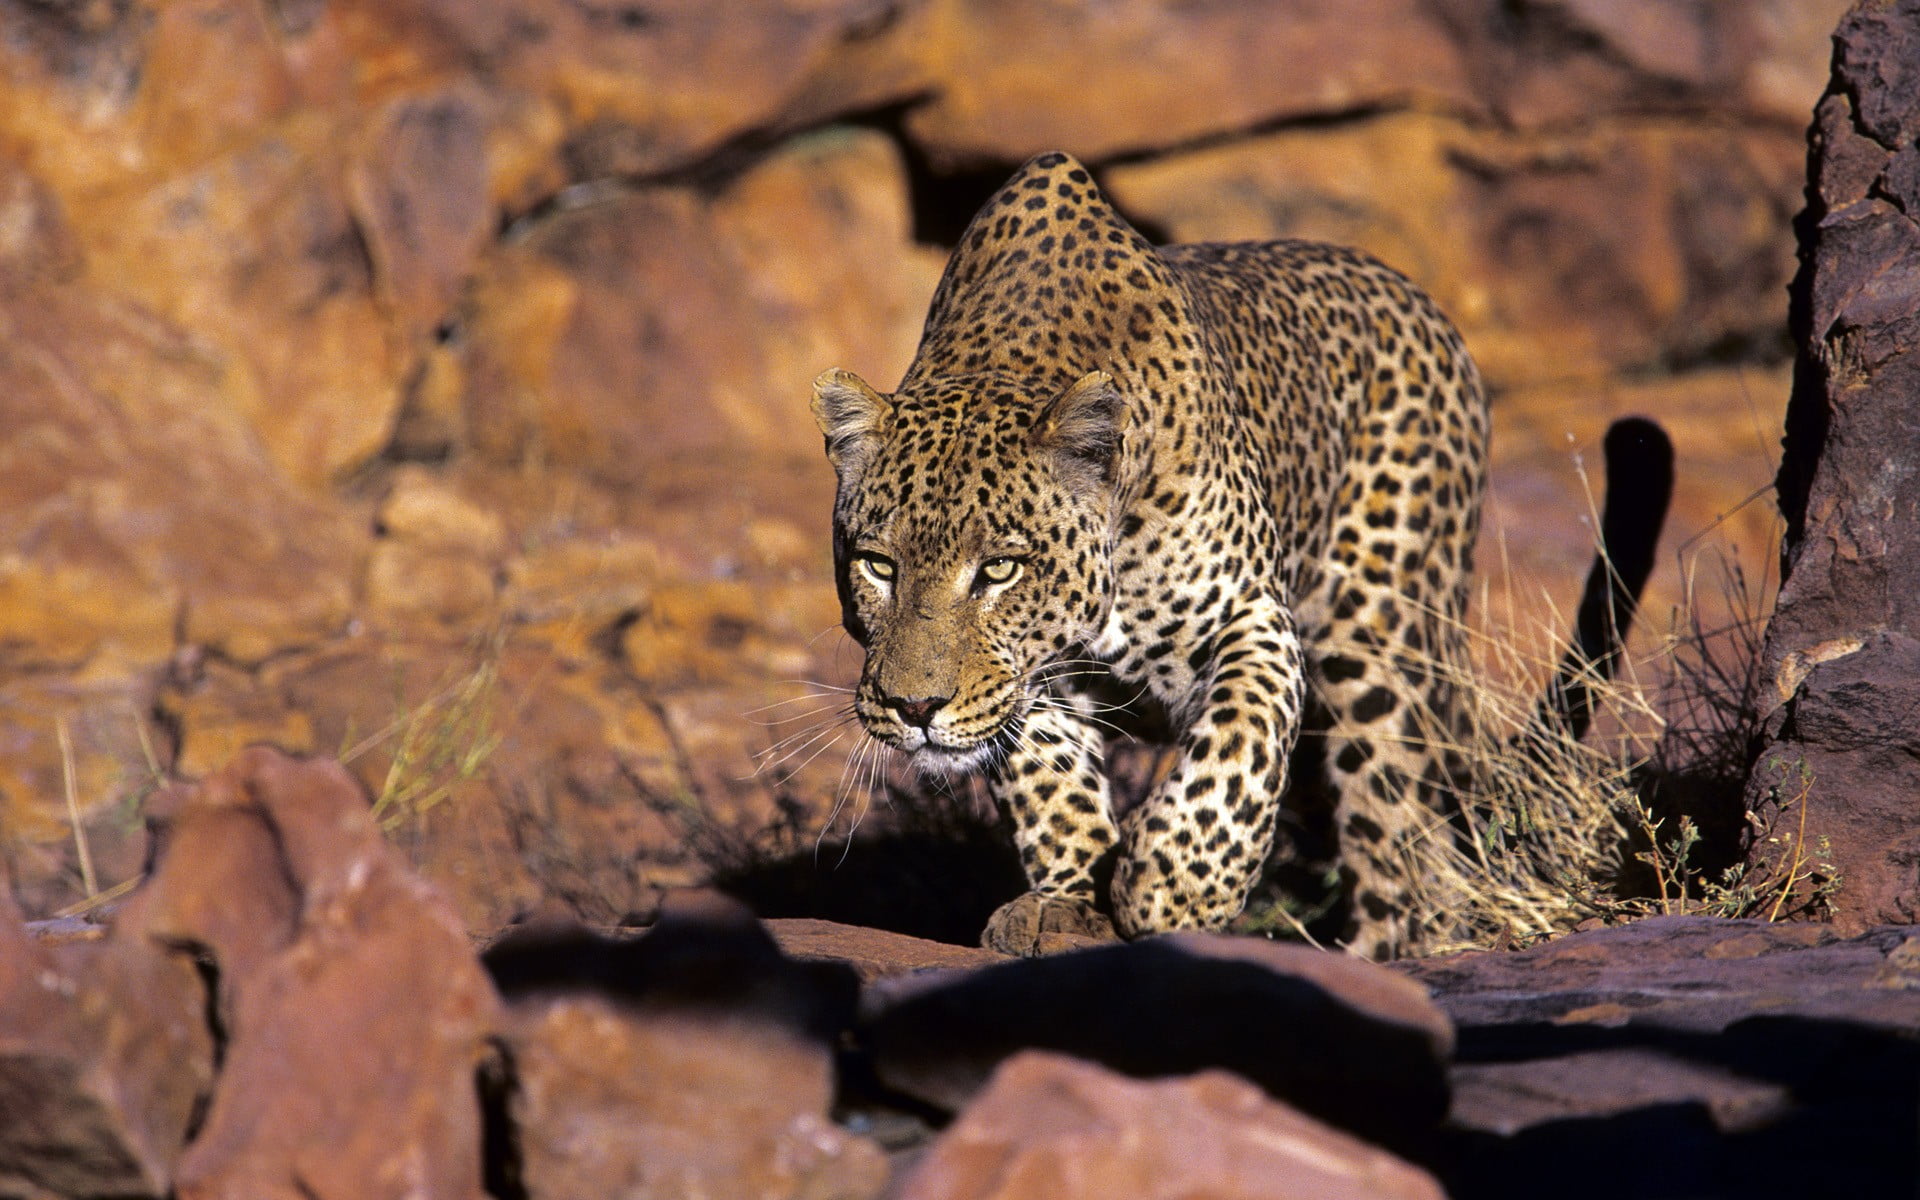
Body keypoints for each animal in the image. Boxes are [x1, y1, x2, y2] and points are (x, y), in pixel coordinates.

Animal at [809, 150, 1660, 959]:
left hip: (1378, 637)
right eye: (879, 565)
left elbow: (1238, 739)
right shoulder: (1034, 676)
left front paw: (1173, 889)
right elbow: (1049, 780)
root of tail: (1424, 308)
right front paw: (1068, 902)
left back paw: (1376, 949)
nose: (915, 709)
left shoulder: (1250, 619)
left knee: (1401, 837)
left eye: (998, 570)